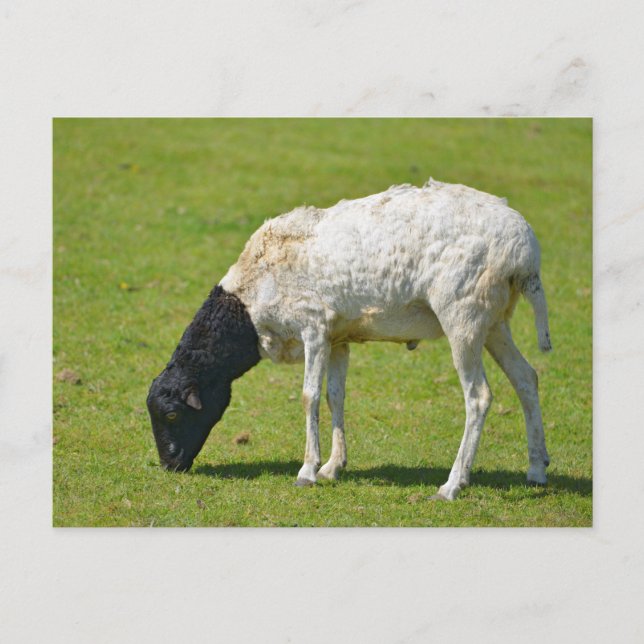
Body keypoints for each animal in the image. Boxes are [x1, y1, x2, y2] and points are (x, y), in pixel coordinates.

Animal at [147, 179, 552, 500]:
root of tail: (526, 250)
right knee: (526, 378)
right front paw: (332, 467)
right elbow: (334, 396)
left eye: (172, 413)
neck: (247, 305)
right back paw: (536, 470)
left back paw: (453, 485)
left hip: (463, 315)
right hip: (493, 321)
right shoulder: (337, 338)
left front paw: (307, 472)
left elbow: (309, 396)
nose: (169, 465)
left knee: (479, 397)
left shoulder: (312, 328)